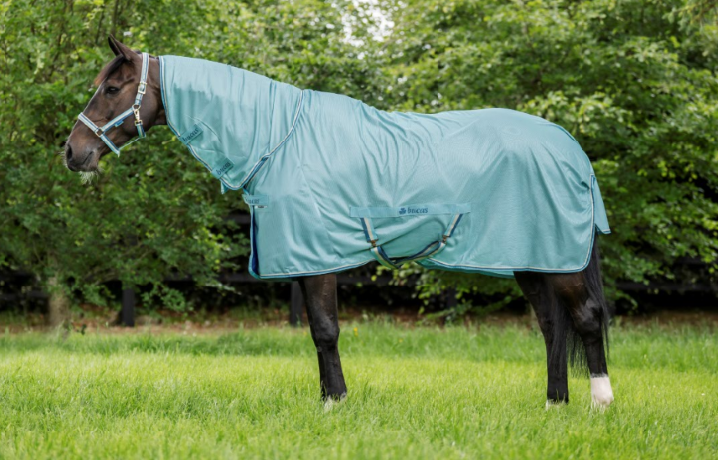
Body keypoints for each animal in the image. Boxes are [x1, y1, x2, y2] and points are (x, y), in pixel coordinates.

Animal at [64, 36, 614, 409]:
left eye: (112, 88)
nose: (73, 152)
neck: (278, 140)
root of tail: (569, 147)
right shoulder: (307, 259)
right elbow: (316, 331)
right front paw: (331, 400)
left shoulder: (317, 258)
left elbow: (325, 331)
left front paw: (336, 403)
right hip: (531, 259)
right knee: (552, 326)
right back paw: (554, 403)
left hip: (559, 261)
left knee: (586, 318)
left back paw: (599, 404)